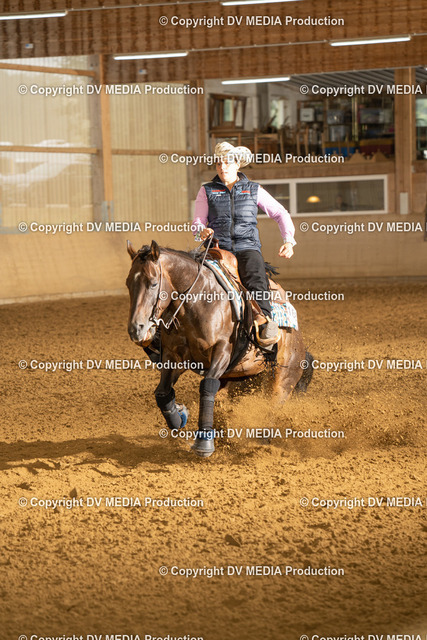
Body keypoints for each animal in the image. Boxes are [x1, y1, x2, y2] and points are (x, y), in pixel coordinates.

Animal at [126, 239, 313, 458]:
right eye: (128, 283)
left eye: (153, 283)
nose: (136, 329)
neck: (199, 300)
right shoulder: (174, 357)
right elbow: (162, 393)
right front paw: (179, 415)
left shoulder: (222, 351)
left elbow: (207, 386)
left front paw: (204, 443)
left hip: (283, 380)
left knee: (272, 407)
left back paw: (259, 444)